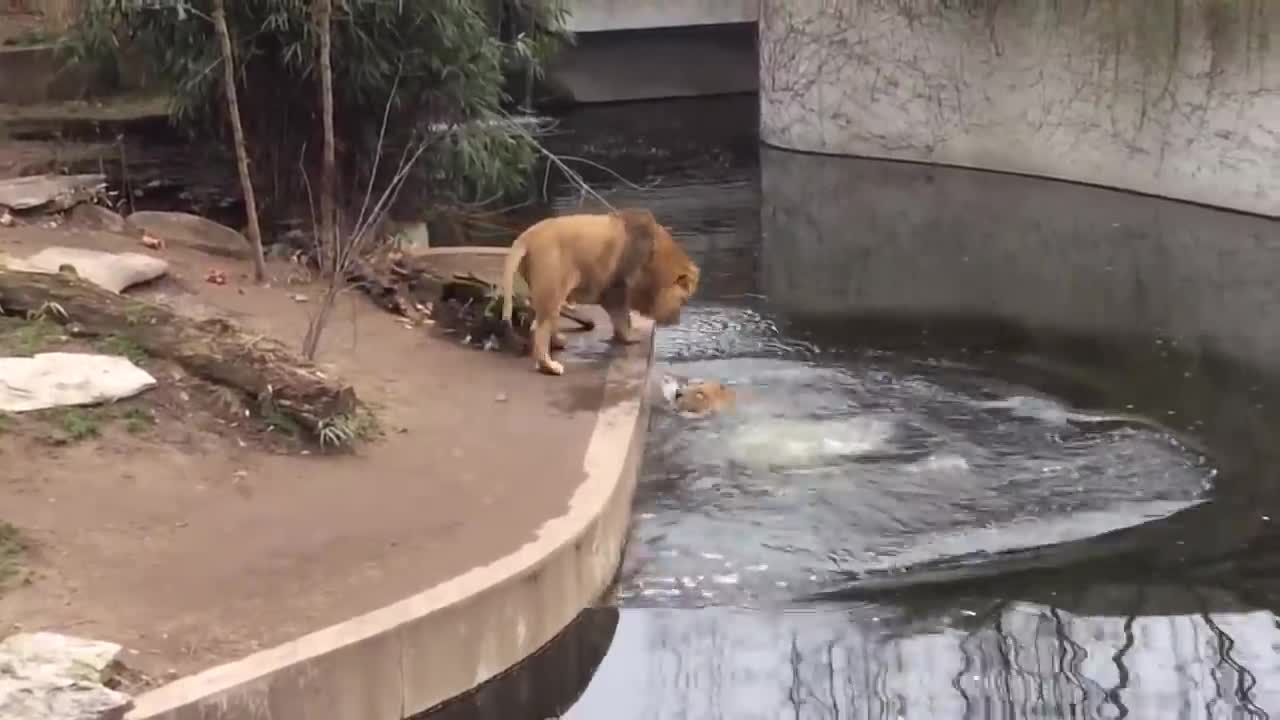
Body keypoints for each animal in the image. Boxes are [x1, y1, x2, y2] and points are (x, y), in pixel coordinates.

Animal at [501, 207, 701, 376]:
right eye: (684, 300)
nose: (676, 321)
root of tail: (527, 236)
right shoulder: (616, 290)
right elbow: (622, 320)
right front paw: (631, 338)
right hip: (553, 287)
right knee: (539, 329)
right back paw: (549, 366)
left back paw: (557, 341)